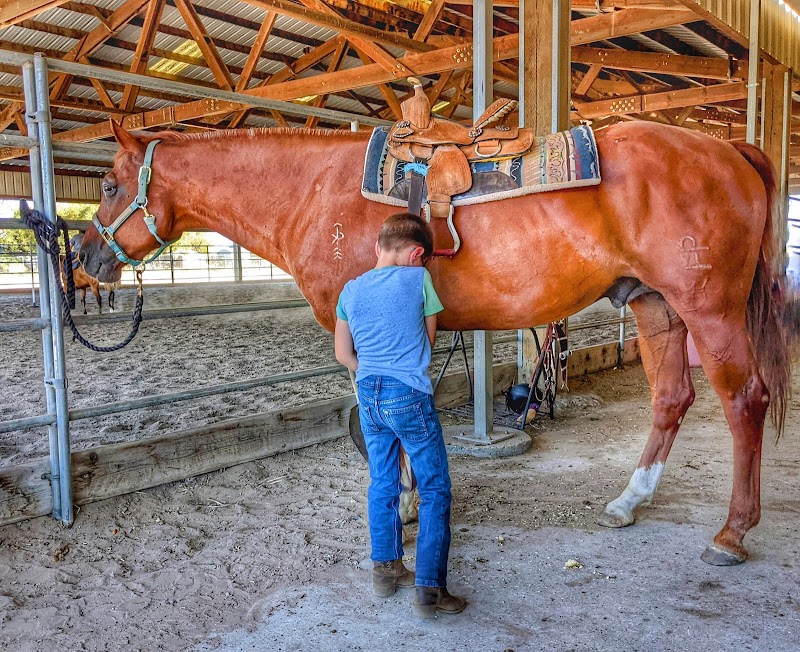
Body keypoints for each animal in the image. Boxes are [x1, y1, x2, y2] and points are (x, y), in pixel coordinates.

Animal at [76, 119, 794, 566]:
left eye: (108, 186)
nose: (84, 256)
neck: (314, 191)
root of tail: (730, 149)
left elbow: (380, 420)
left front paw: (399, 507)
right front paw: (412, 500)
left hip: (709, 310)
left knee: (745, 402)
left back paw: (732, 533)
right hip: (655, 306)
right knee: (672, 399)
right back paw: (628, 501)